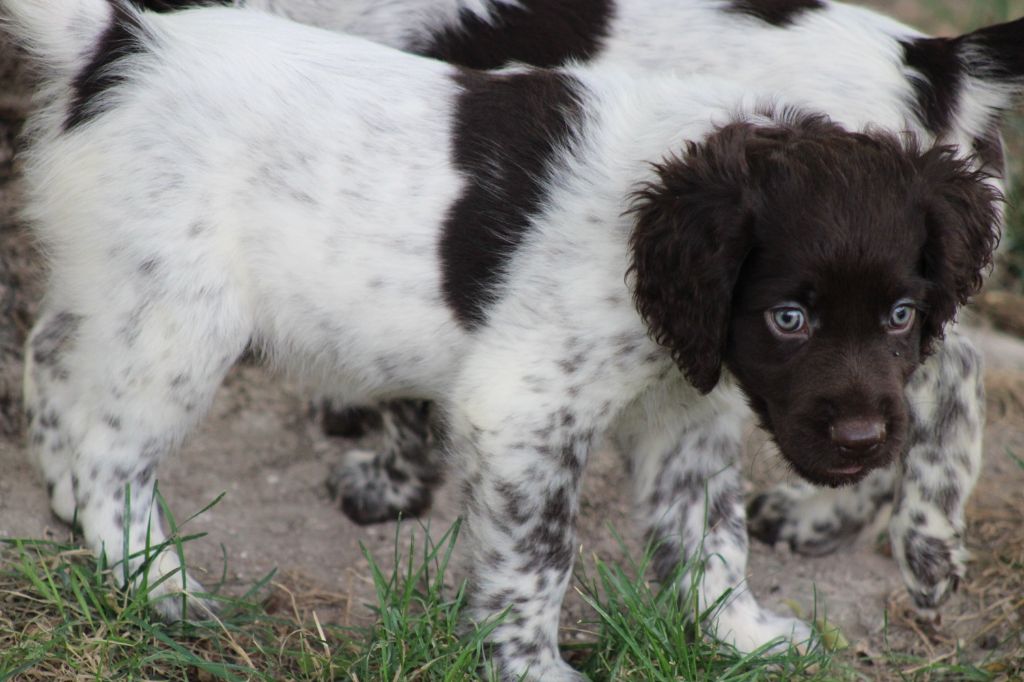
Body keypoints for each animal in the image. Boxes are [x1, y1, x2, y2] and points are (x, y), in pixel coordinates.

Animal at [2, 2, 1007, 675]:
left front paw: (742, 636)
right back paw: (156, 584)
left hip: (123, 294)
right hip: (178, 322)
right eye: (787, 318)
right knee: (112, 456)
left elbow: (708, 537)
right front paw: (529, 668)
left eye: (900, 314)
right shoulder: (524, 409)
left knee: (56, 360)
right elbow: (539, 557)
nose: (863, 440)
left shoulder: (684, 415)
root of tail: (124, 43)